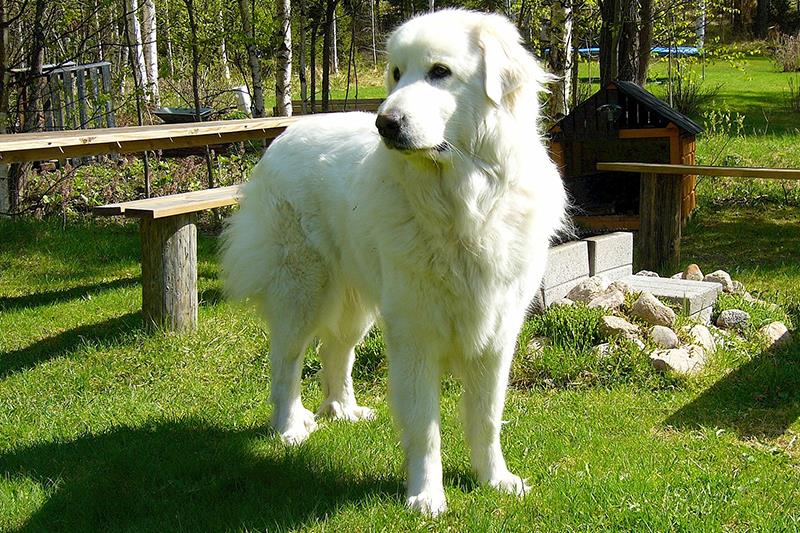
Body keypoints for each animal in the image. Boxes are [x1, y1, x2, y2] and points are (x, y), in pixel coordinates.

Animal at [222, 9, 564, 516]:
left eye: (439, 72)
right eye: (397, 74)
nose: (385, 123)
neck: (464, 202)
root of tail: (286, 133)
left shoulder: (496, 335)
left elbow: (486, 419)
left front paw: (495, 480)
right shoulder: (414, 335)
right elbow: (425, 428)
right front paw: (426, 496)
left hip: (357, 302)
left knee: (335, 350)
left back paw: (343, 410)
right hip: (303, 291)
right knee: (286, 360)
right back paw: (288, 427)